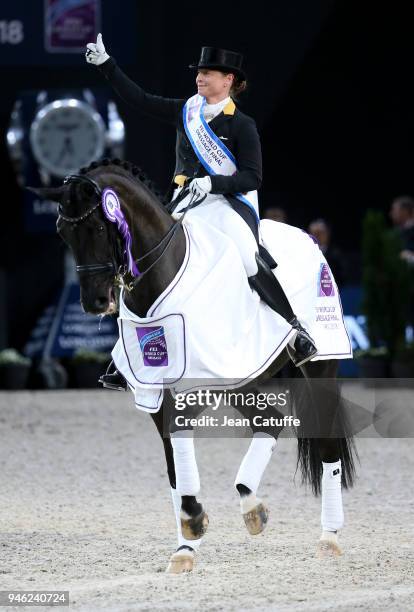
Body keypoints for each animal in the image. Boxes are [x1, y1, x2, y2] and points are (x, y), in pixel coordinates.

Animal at [32, 159, 356, 572]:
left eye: (99, 227)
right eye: (62, 231)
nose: (95, 302)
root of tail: (308, 237)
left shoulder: (189, 390)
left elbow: (181, 455)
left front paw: (194, 525)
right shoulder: (155, 395)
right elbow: (176, 471)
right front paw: (187, 540)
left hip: (320, 367)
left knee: (328, 448)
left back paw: (329, 538)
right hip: (242, 379)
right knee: (271, 421)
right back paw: (252, 507)